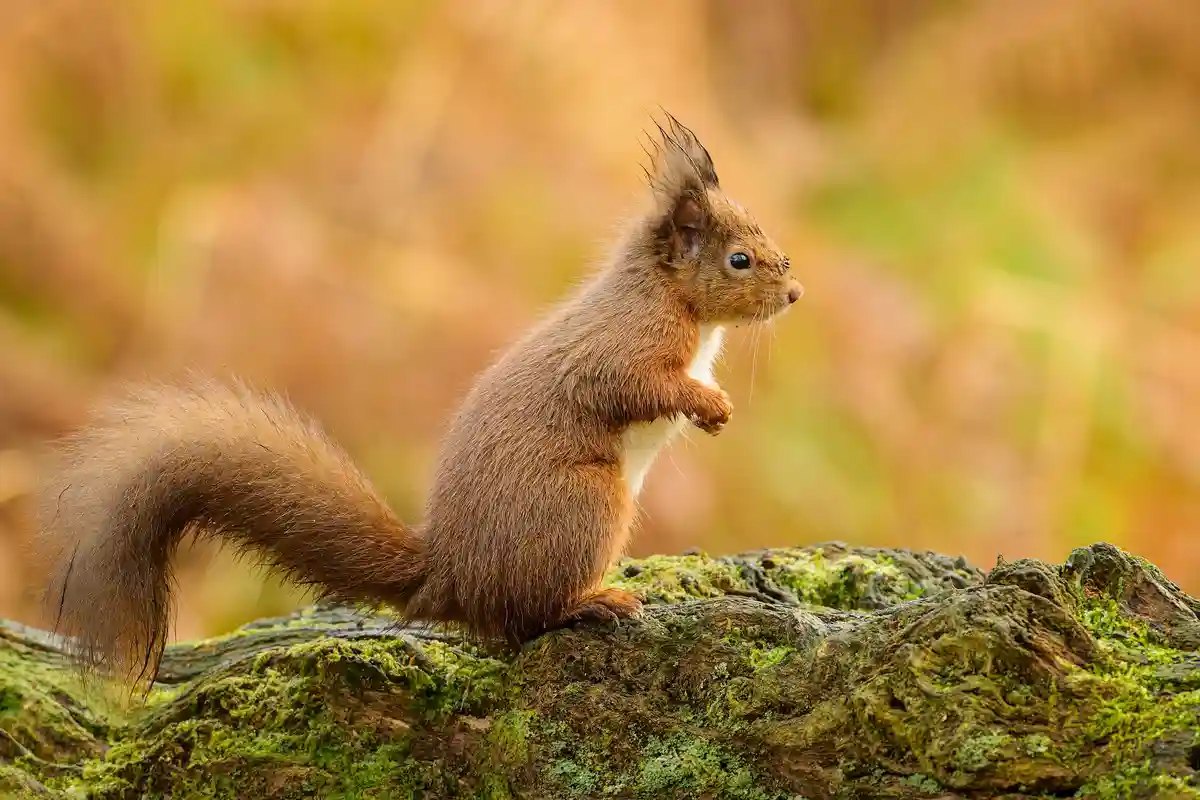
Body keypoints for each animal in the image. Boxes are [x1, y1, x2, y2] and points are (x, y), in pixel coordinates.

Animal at [36, 113, 803, 685]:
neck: (675, 301)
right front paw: (709, 406)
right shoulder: (625, 348)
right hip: (586, 506)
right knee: (528, 618)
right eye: (739, 260)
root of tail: (451, 579)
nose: (795, 293)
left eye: (774, 245)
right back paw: (595, 602)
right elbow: (640, 386)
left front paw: (719, 407)